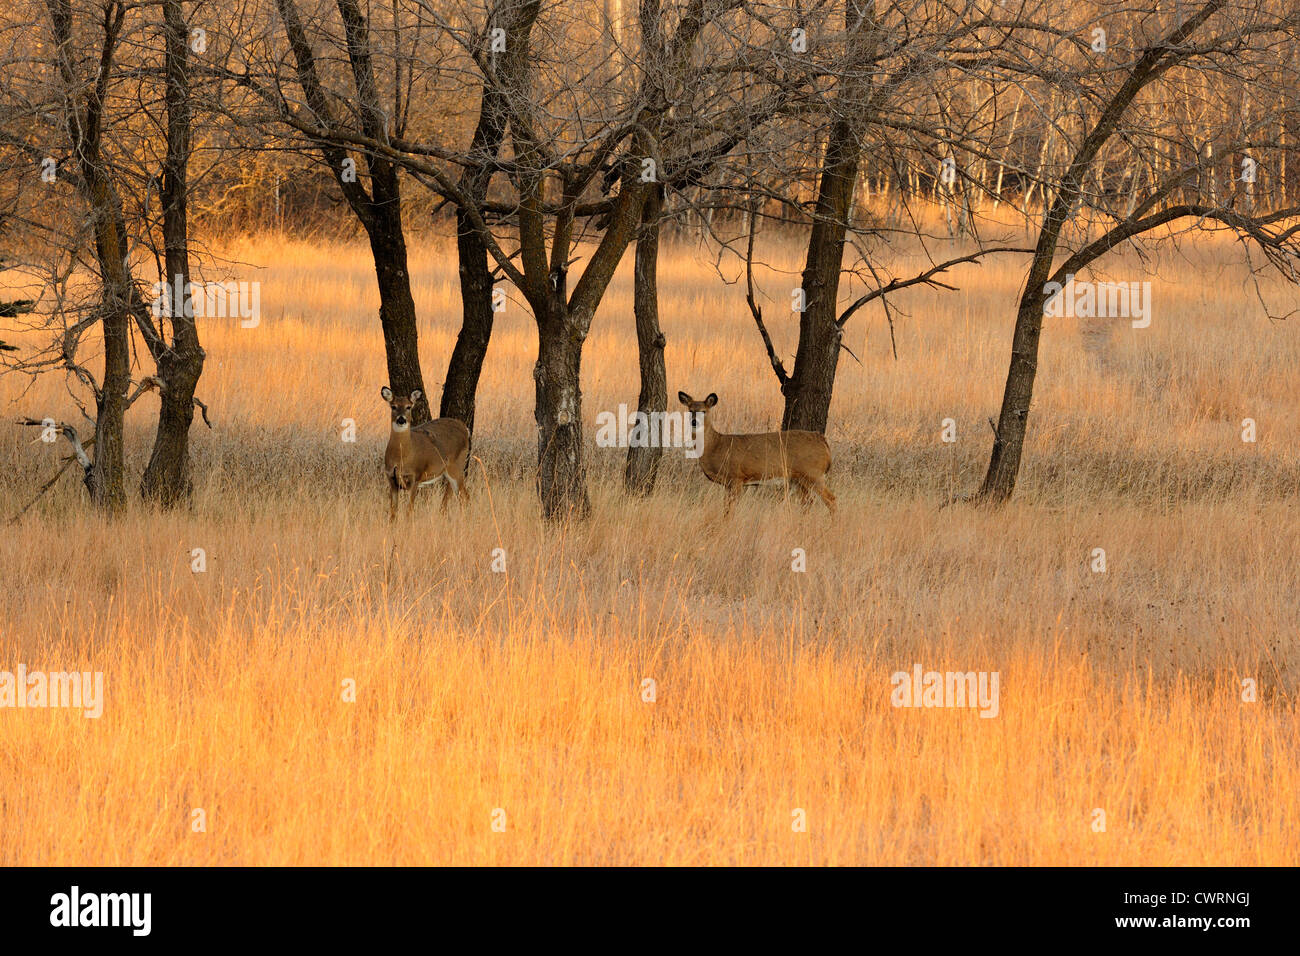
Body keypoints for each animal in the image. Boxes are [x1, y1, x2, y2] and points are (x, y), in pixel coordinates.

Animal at [379, 387, 473, 522]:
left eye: (408, 407)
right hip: (449, 470)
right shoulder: (391, 480)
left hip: (457, 465)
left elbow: (409, 511)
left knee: (465, 497)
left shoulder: (415, 477)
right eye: (393, 406)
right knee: (452, 494)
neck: (402, 457)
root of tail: (465, 428)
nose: (401, 419)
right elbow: (393, 514)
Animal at [676, 390, 837, 515]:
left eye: (704, 411)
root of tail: (823, 441)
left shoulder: (736, 477)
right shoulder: (728, 484)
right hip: (799, 479)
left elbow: (730, 510)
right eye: (690, 410)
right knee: (808, 502)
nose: (694, 422)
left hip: (813, 473)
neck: (716, 446)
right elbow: (726, 509)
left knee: (831, 499)